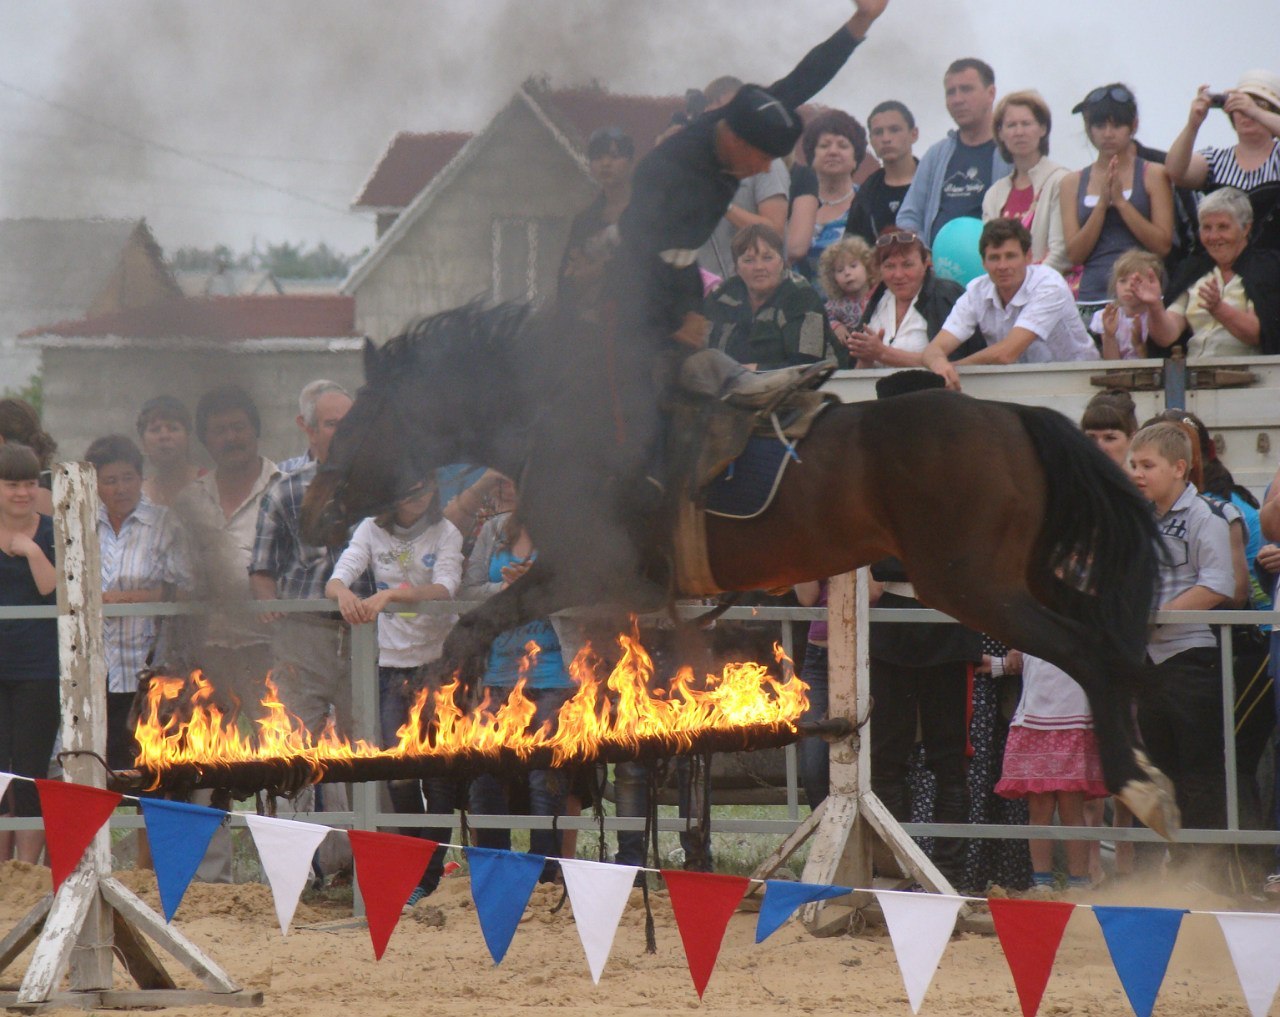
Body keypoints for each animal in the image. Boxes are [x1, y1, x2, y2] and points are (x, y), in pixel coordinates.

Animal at [302, 304, 1177, 844]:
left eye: (362, 418)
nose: (316, 506)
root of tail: (1015, 417)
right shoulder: (620, 601)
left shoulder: (578, 572)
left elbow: (473, 628)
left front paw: (436, 722)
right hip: (1024, 576)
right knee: (1117, 649)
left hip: (973, 585)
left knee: (1091, 655)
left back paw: (1141, 788)